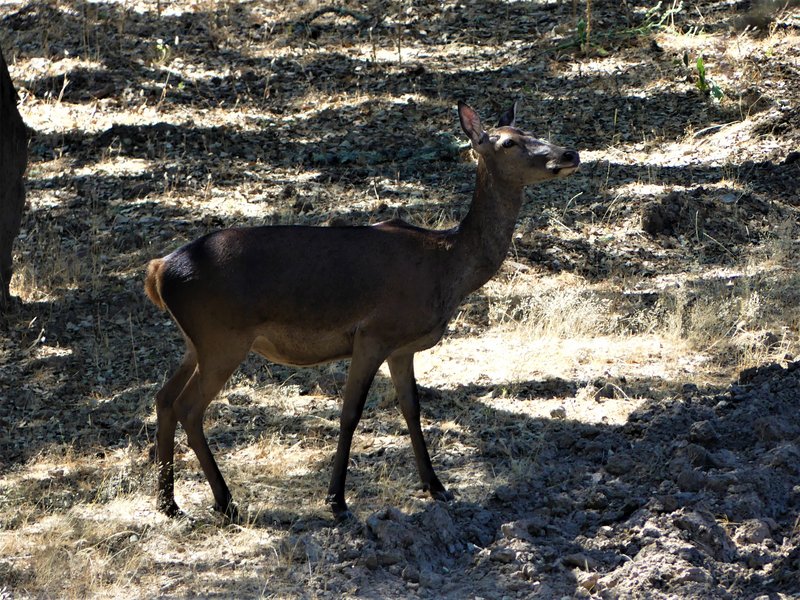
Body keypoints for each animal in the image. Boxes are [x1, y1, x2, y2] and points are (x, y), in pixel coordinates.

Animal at [145, 102, 580, 520]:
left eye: (531, 130)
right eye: (508, 141)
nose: (569, 153)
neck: (446, 267)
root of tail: (159, 270)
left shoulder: (402, 348)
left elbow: (411, 408)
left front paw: (436, 486)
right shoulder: (374, 334)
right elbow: (351, 412)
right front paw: (337, 500)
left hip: (196, 342)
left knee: (164, 398)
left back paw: (168, 502)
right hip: (223, 337)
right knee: (189, 407)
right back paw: (224, 501)